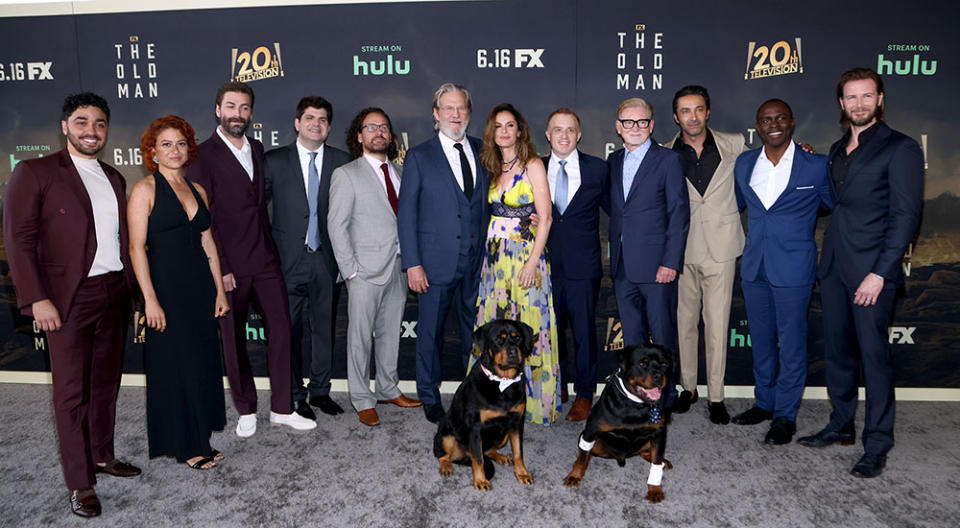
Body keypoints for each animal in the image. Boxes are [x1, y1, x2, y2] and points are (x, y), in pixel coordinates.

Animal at [434, 318, 532, 490]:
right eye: (498, 340)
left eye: (518, 338)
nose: (513, 351)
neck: (502, 383)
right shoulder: (475, 427)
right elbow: (478, 458)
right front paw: (480, 480)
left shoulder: (516, 423)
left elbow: (518, 452)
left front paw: (522, 473)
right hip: (446, 435)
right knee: (444, 455)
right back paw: (446, 466)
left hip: (504, 435)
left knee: (487, 451)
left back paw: (500, 456)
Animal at [568, 342, 672, 504]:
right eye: (642, 363)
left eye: (665, 364)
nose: (659, 376)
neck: (636, 405)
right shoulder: (592, 429)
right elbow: (583, 455)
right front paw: (575, 475)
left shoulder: (659, 433)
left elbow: (656, 460)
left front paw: (655, 489)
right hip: (588, 437)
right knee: (587, 452)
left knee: (649, 453)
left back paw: (662, 462)